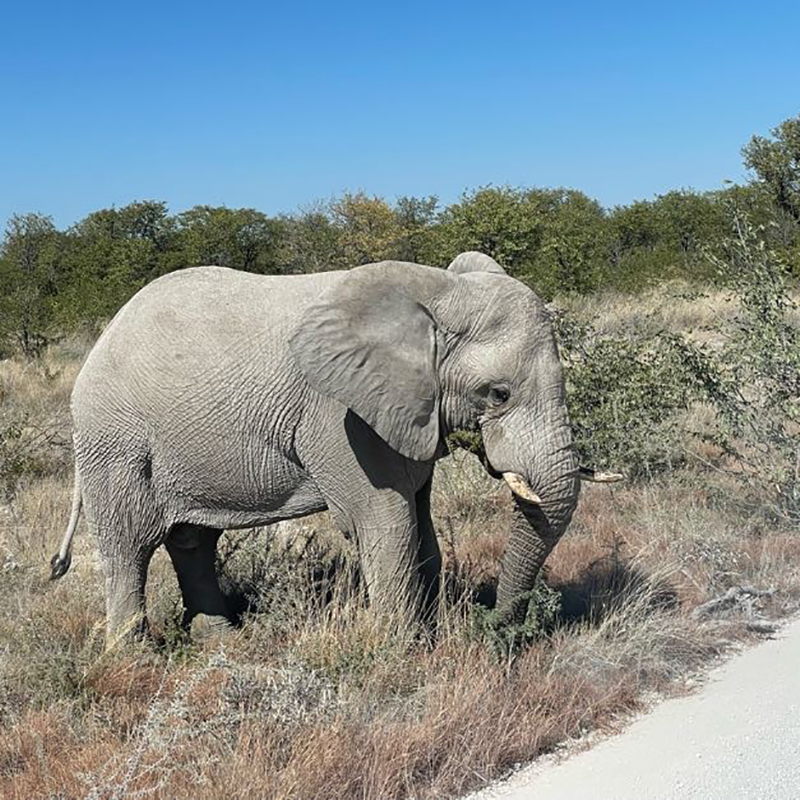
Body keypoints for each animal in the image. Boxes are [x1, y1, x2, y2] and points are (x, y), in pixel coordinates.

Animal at [50, 251, 615, 647]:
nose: (493, 626)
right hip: (116, 445)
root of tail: (101, 341)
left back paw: (221, 641)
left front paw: (430, 632)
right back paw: (133, 658)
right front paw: (404, 653)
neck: (435, 292)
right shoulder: (338, 418)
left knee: (193, 540)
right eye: (498, 393)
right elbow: (384, 523)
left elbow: (421, 524)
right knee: (129, 549)